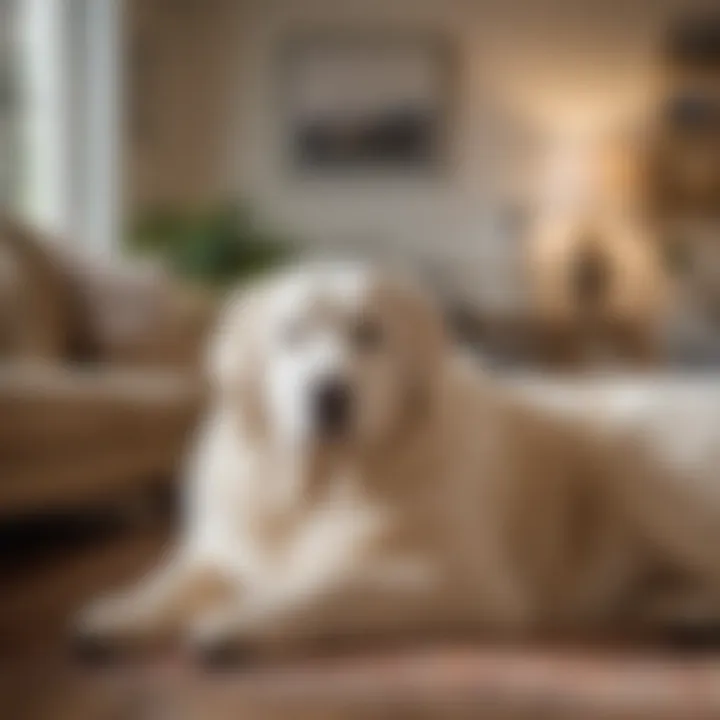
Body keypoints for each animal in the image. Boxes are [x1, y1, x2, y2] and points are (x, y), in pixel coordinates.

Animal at [77, 262, 720, 656]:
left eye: (369, 334)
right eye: (291, 334)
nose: (329, 393)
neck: (324, 483)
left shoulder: (464, 580)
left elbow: (326, 588)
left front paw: (241, 621)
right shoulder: (226, 544)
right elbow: (171, 578)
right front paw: (116, 615)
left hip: (637, 448)